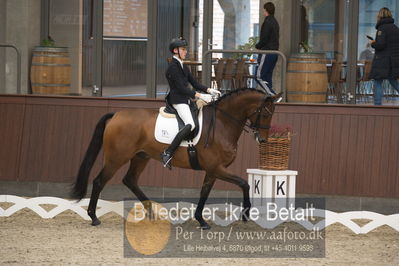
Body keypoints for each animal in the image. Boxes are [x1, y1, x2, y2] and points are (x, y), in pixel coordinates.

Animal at [70, 89, 280, 229]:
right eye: (265, 113)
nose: (262, 139)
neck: (222, 123)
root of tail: (116, 115)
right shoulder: (217, 168)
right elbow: (244, 183)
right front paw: (245, 213)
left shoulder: (212, 170)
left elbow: (204, 192)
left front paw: (201, 220)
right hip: (116, 158)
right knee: (99, 181)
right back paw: (94, 217)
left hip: (140, 157)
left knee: (130, 180)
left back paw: (152, 213)